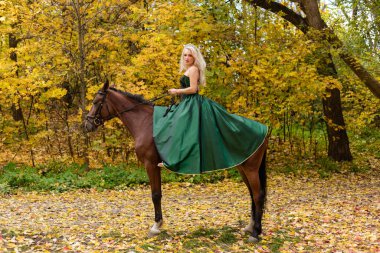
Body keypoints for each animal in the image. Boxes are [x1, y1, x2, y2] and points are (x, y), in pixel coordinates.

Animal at [84, 81, 268, 243]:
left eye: (96, 102)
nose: (87, 124)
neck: (144, 122)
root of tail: (264, 129)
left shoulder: (150, 164)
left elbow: (155, 195)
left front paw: (155, 226)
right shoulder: (154, 166)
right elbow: (158, 194)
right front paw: (158, 224)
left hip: (250, 169)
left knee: (258, 195)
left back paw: (255, 233)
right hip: (242, 167)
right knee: (252, 194)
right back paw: (250, 227)